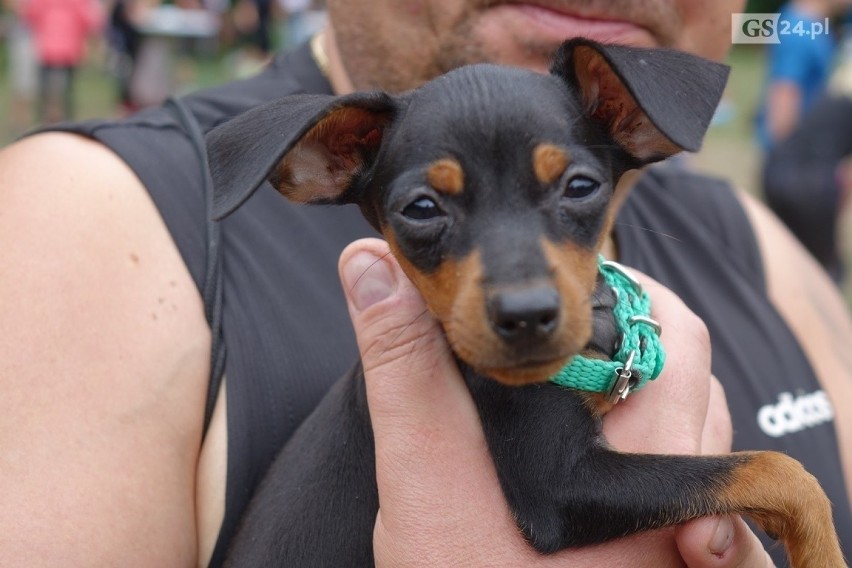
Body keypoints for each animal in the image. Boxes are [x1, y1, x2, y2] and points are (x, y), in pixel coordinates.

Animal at [205, 37, 844, 564]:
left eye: (581, 187)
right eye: (421, 208)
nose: (526, 316)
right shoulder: (558, 493)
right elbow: (778, 470)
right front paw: (823, 554)